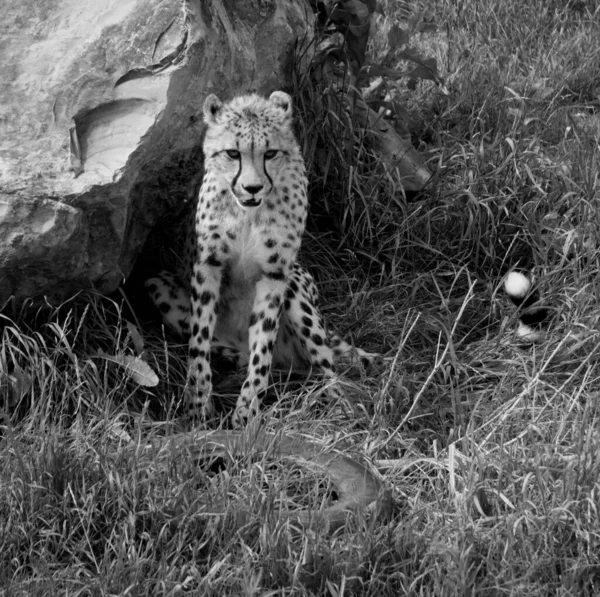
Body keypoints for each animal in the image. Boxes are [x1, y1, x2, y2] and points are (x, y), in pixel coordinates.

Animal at [146, 91, 376, 426]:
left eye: (270, 153)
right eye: (232, 153)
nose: (252, 187)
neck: (248, 211)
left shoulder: (275, 273)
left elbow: (263, 345)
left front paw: (247, 410)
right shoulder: (207, 265)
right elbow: (199, 341)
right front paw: (199, 403)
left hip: (297, 290)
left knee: (326, 367)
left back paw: (341, 406)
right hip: (157, 283)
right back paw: (232, 358)